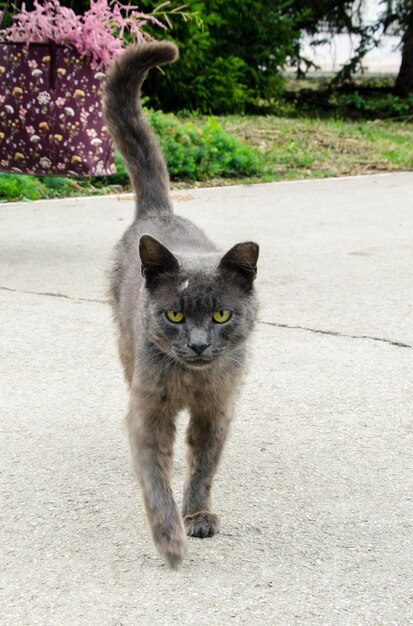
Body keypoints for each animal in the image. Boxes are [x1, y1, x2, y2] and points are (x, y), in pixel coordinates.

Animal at [103, 40, 258, 564]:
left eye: (220, 315)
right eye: (174, 314)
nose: (197, 344)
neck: (192, 381)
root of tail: (159, 212)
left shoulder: (218, 409)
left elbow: (204, 464)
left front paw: (198, 515)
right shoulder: (149, 410)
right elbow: (154, 478)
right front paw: (170, 538)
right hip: (126, 350)